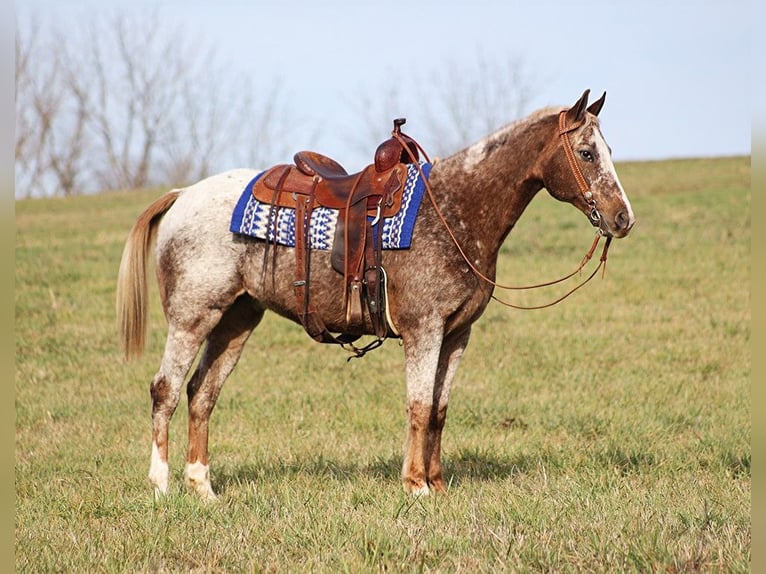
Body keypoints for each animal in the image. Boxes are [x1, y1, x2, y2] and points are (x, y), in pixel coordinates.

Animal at [117, 88, 640, 502]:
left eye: (610, 149)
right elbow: (419, 406)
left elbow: (439, 410)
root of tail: (183, 194)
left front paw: (438, 483)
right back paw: (161, 485)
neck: (454, 210)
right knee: (165, 390)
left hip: (237, 319)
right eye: (587, 153)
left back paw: (202, 488)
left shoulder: (457, 335)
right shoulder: (424, 331)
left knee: (202, 394)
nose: (623, 218)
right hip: (192, 317)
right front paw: (416, 486)